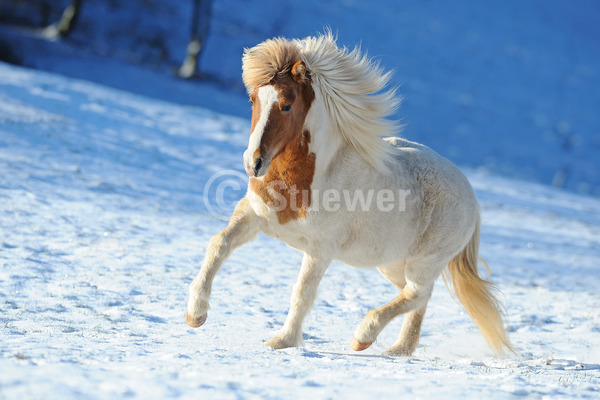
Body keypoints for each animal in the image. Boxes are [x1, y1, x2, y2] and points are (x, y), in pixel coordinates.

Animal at [185, 32, 512, 356]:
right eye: (253, 99)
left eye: (287, 105)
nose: (252, 163)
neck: (312, 177)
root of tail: (470, 193)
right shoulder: (254, 214)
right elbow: (219, 244)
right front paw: (195, 315)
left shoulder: (320, 249)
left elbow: (302, 293)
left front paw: (282, 341)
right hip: (392, 263)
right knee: (417, 295)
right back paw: (399, 349)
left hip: (425, 261)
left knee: (418, 293)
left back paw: (363, 338)